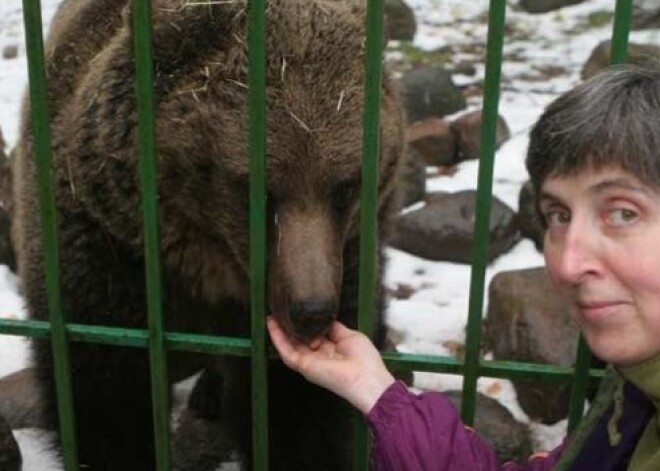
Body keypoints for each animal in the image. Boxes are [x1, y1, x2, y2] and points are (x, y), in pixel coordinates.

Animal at [11, 0, 402, 470]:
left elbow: (301, 416)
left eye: (344, 187)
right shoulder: (105, 254)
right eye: (259, 191)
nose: (311, 312)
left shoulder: (345, 256)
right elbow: (109, 405)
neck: (208, 262)